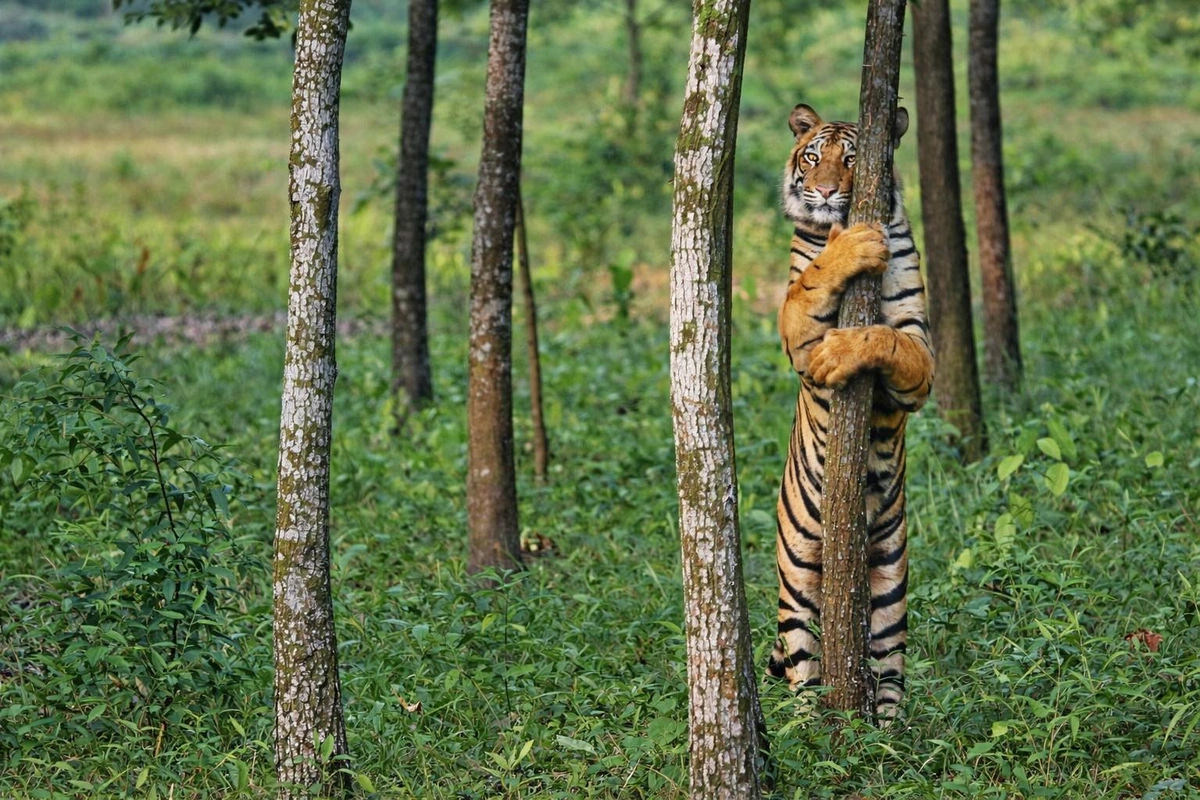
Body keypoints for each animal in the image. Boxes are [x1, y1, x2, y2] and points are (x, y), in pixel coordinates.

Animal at [766, 103, 935, 719]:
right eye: (813, 156)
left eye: (853, 159)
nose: (823, 192)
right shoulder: (795, 330)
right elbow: (811, 285)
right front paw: (850, 247)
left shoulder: (921, 350)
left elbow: (887, 338)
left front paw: (845, 350)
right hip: (797, 584)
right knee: (803, 672)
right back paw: (809, 727)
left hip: (890, 585)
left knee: (889, 673)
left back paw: (887, 731)